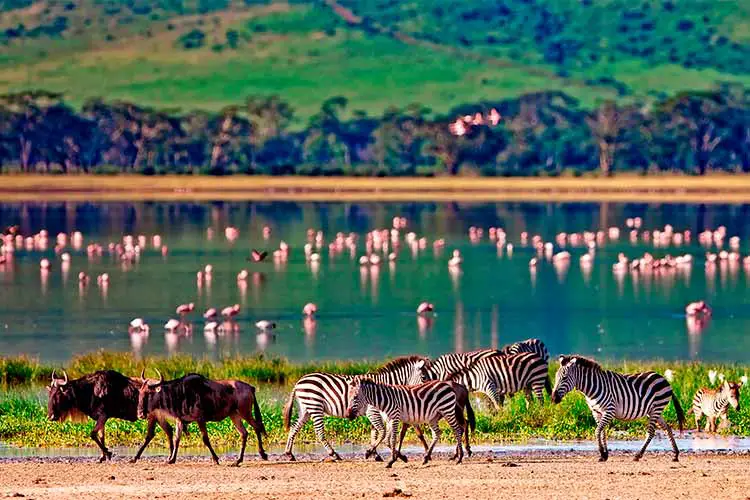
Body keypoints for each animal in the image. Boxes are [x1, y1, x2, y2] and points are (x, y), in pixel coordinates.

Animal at [284, 356, 428, 460]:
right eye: (424, 377)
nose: (424, 393)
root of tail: (299, 381)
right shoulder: (373, 411)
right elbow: (382, 432)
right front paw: (390, 454)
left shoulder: (377, 413)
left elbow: (375, 433)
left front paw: (374, 454)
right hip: (315, 406)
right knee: (319, 432)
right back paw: (334, 454)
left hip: (306, 408)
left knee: (294, 427)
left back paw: (289, 454)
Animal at [552, 354, 688, 462]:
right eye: (555, 377)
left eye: (564, 378)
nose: (553, 398)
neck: (592, 389)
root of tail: (663, 379)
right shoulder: (596, 412)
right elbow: (602, 432)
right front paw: (605, 455)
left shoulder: (609, 410)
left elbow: (597, 431)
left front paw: (602, 453)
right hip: (654, 411)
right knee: (667, 428)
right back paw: (675, 455)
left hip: (656, 409)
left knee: (651, 432)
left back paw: (638, 455)